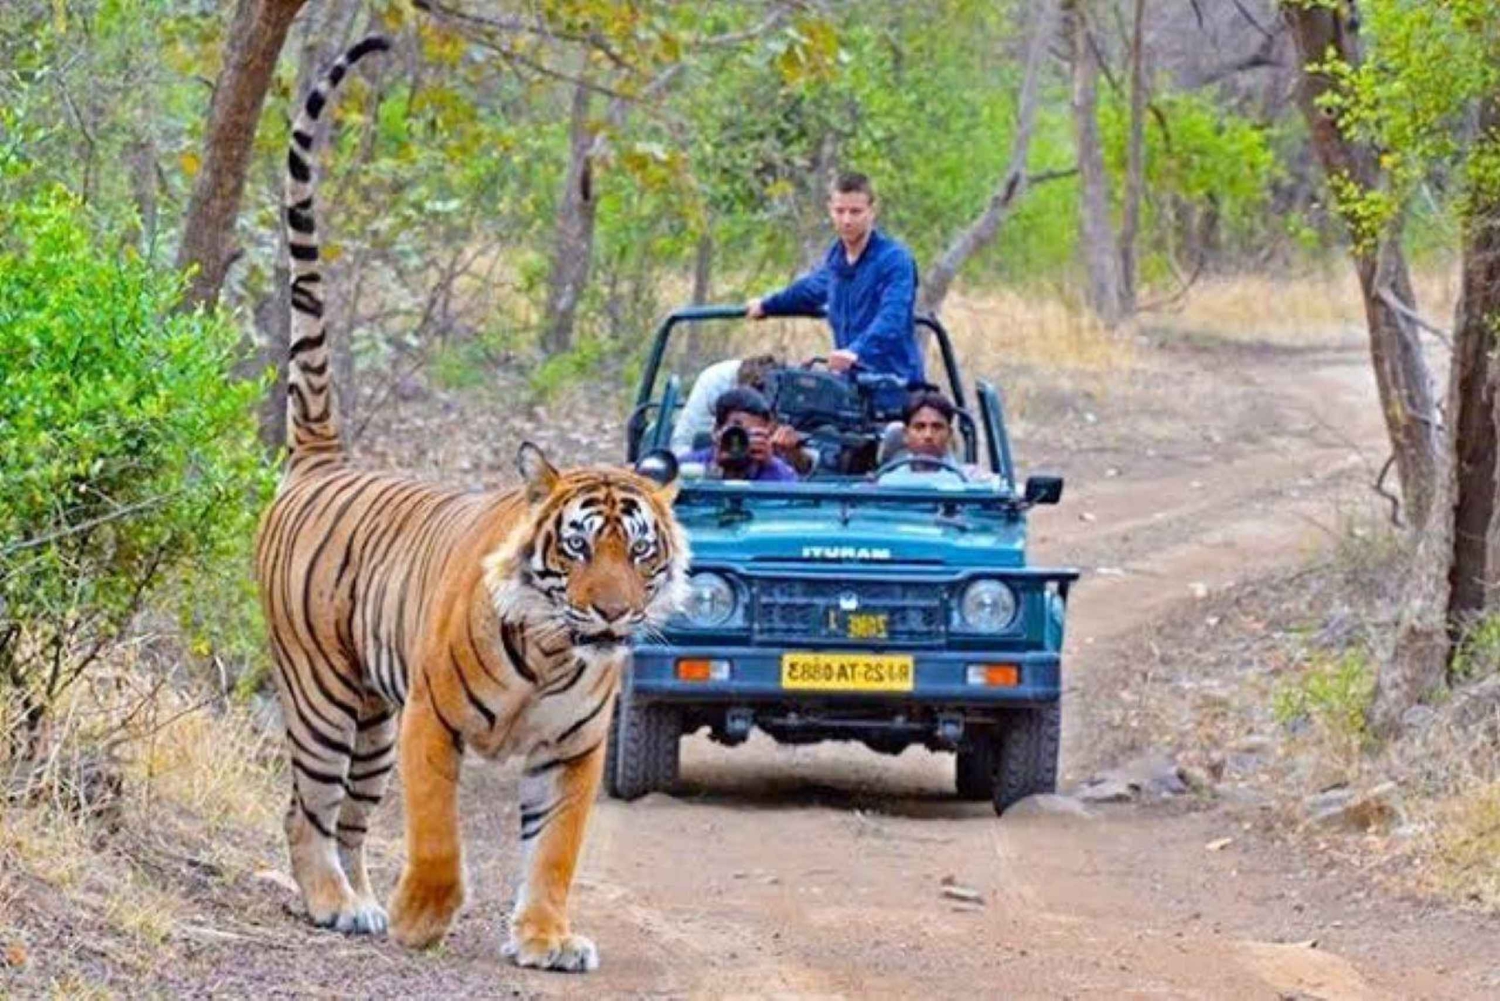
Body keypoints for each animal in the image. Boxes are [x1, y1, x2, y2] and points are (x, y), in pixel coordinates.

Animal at [253, 34, 689, 973]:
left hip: (371, 719)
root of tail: (321, 459)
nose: (612, 613)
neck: (558, 651)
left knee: (349, 816)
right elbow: (439, 836)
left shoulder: (572, 751)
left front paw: (547, 937)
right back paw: (333, 900)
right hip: (324, 694)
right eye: (577, 547)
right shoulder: (432, 721)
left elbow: (554, 851)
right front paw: (424, 917)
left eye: (639, 552)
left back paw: (359, 901)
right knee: (305, 806)